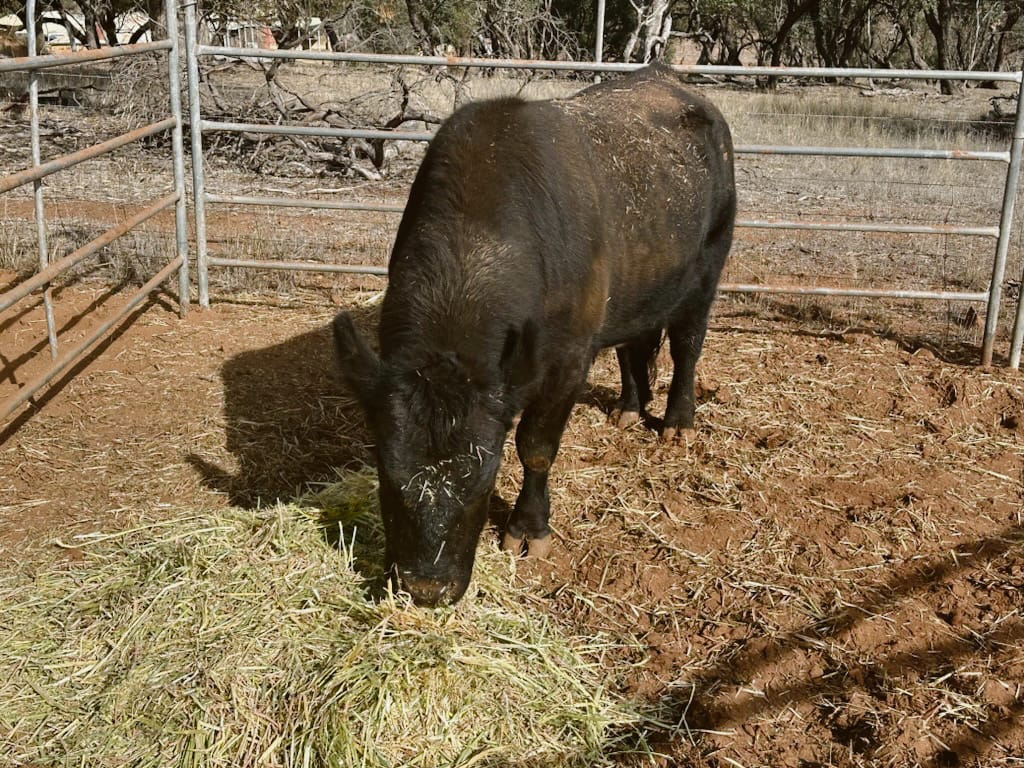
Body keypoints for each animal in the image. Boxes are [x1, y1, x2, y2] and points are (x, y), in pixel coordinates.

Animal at [333, 62, 736, 606]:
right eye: (385, 474)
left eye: (484, 481)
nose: (427, 587)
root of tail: (670, 78)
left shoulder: (568, 358)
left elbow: (536, 446)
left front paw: (529, 528)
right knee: (633, 346)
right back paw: (630, 408)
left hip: (708, 267)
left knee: (687, 346)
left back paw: (677, 421)